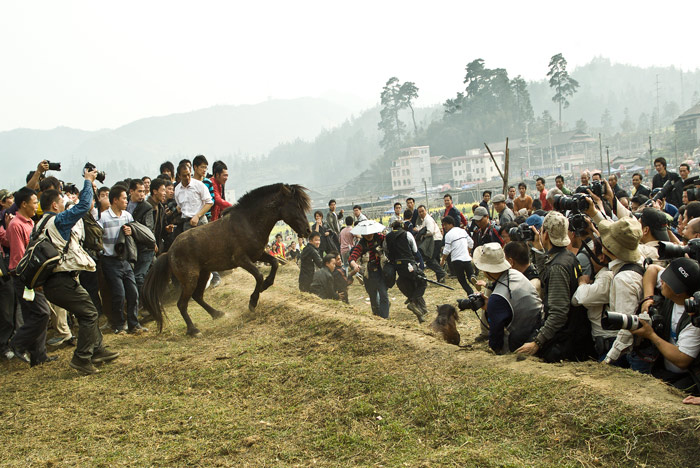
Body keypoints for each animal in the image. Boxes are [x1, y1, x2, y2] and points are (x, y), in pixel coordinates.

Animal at [142, 183, 312, 336]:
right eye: (297, 206)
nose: (308, 230)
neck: (248, 223)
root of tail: (169, 252)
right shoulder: (241, 259)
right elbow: (258, 275)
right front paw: (253, 301)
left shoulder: (257, 254)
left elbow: (275, 263)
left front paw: (265, 285)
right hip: (190, 278)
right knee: (182, 304)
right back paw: (193, 330)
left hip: (203, 273)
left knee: (197, 296)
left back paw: (217, 313)